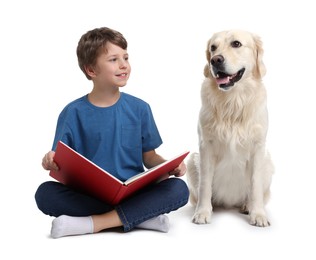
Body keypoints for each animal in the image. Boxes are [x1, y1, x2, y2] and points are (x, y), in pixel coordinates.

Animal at [186, 29, 272, 226]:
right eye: (213, 47)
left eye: (236, 44)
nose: (215, 60)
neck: (233, 101)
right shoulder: (206, 145)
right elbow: (205, 185)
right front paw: (203, 212)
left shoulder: (258, 147)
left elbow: (255, 185)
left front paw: (258, 215)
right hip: (191, 160)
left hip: (268, 161)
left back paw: (248, 206)